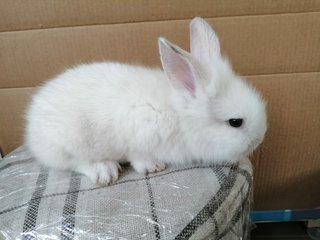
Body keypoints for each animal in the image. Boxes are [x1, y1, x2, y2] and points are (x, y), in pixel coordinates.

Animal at [25, 17, 266, 185]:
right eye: (235, 122)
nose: (259, 139)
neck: (180, 116)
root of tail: (31, 124)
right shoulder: (139, 135)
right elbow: (138, 157)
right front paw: (153, 167)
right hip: (69, 143)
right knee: (75, 163)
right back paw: (105, 171)